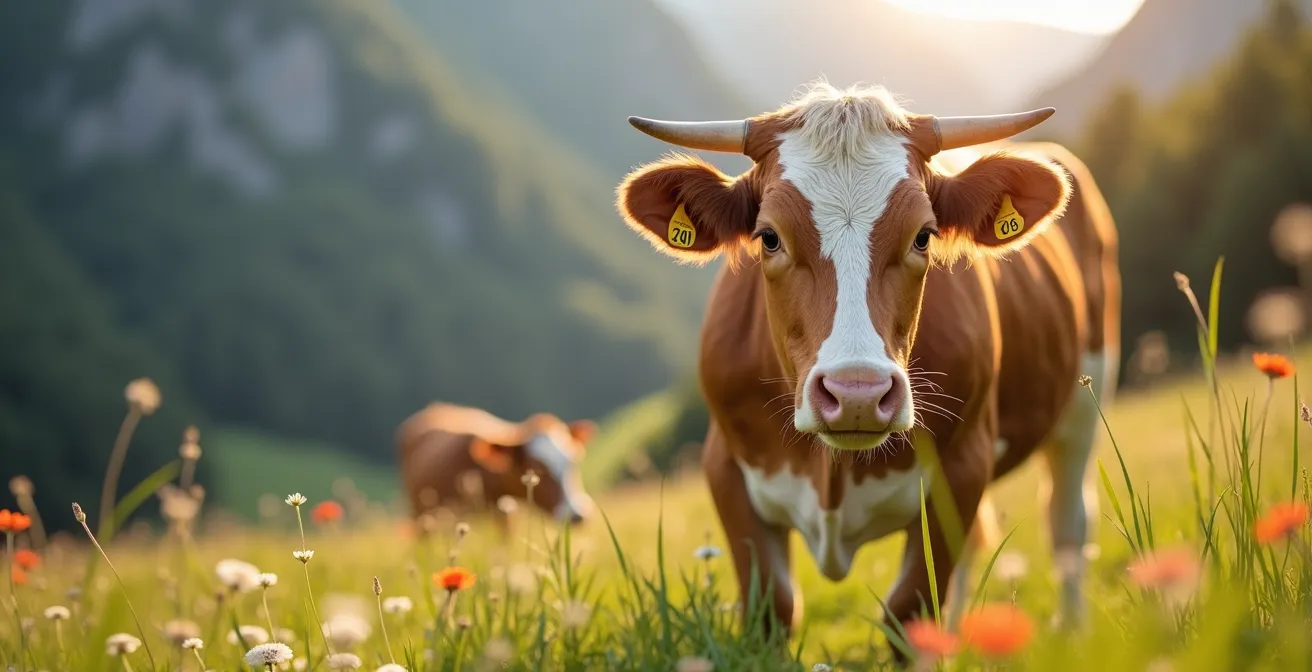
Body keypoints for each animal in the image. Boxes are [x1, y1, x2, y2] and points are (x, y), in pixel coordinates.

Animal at [613, 81, 1120, 647]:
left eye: (924, 235)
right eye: (769, 237)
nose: (857, 394)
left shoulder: (962, 467)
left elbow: (912, 608)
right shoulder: (725, 466)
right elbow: (774, 608)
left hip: (1086, 400)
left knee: (1068, 521)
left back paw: (1073, 632)